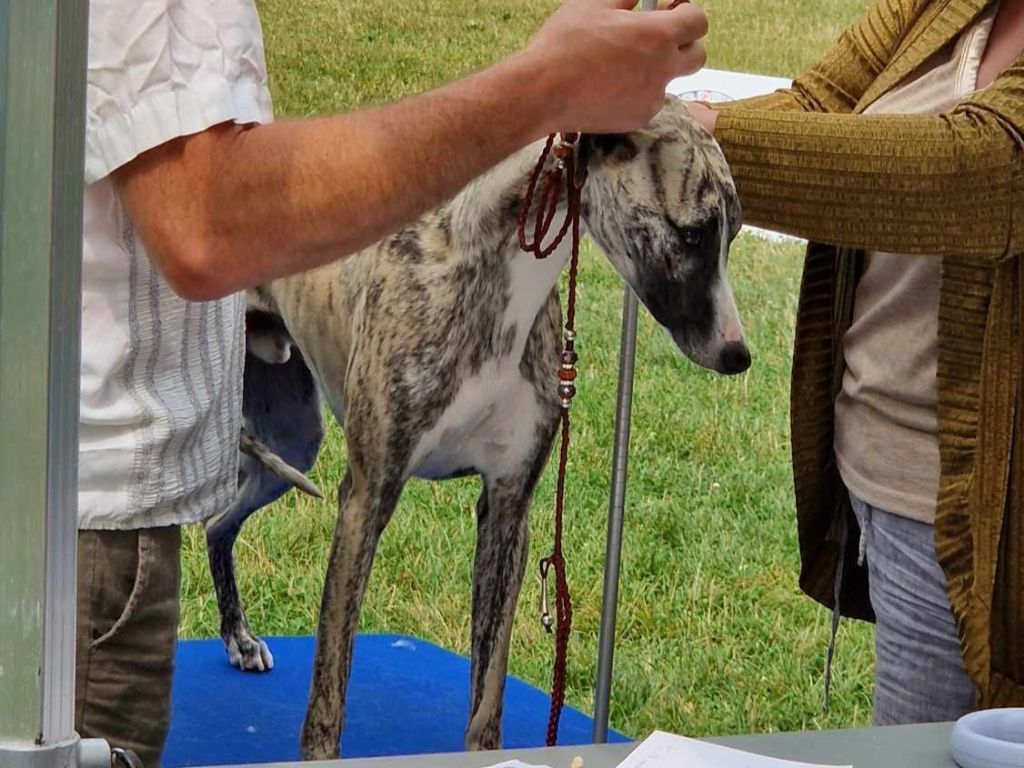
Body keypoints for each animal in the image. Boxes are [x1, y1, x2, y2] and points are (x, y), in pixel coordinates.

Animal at [203, 97, 749, 765]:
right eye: (693, 232)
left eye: (735, 233)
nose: (738, 354)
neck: (496, 276)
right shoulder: (366, 497)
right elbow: (330, 688)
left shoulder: (509, 506)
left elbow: (487, 693)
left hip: (292, 440)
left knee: (218, 522)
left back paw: (239, 636)